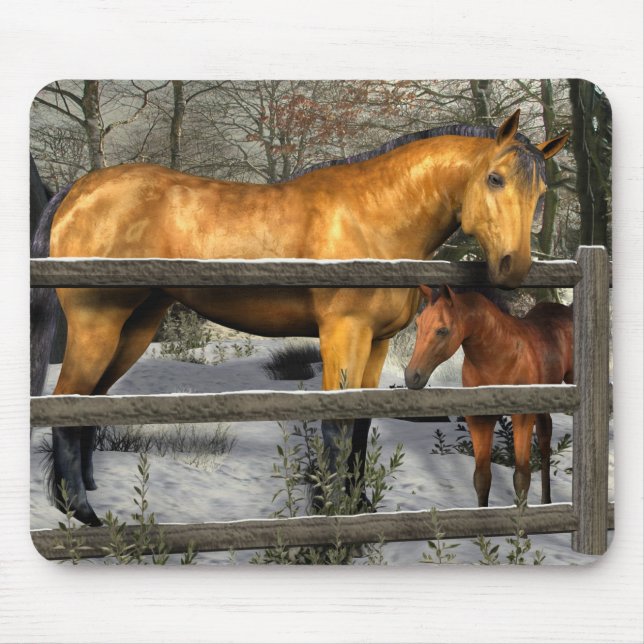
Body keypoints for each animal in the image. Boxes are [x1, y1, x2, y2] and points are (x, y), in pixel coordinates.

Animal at [404, 285, 573, 506]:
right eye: (418, 324)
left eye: (442, 330)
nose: (411, 377)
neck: (500, 356)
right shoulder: (479, 419)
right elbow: (482, 478)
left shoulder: (522, 417)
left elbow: (521, 476)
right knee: (546, 437)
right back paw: (546, 501)